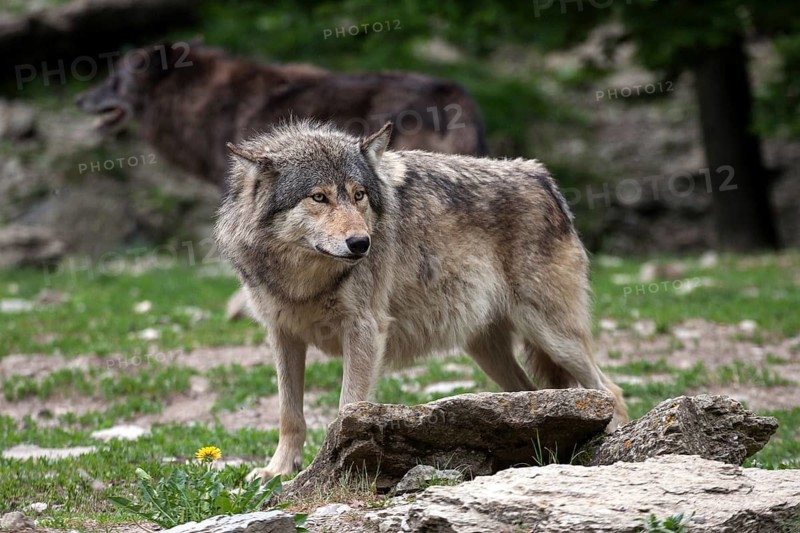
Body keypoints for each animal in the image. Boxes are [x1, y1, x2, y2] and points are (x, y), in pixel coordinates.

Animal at [215, 121, 628, 481]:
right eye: (319, 197)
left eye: (359, 195)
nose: (361, 244)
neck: (305, 279)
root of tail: (542, 178)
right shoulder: (282, 334)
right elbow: (289, 414)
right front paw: (278, 471)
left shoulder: (365, 330)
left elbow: (345, 409)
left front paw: (327, 466)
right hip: (489, 352)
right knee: (535, 395)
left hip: (553, 336)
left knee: (611, 391)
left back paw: (610, 445)